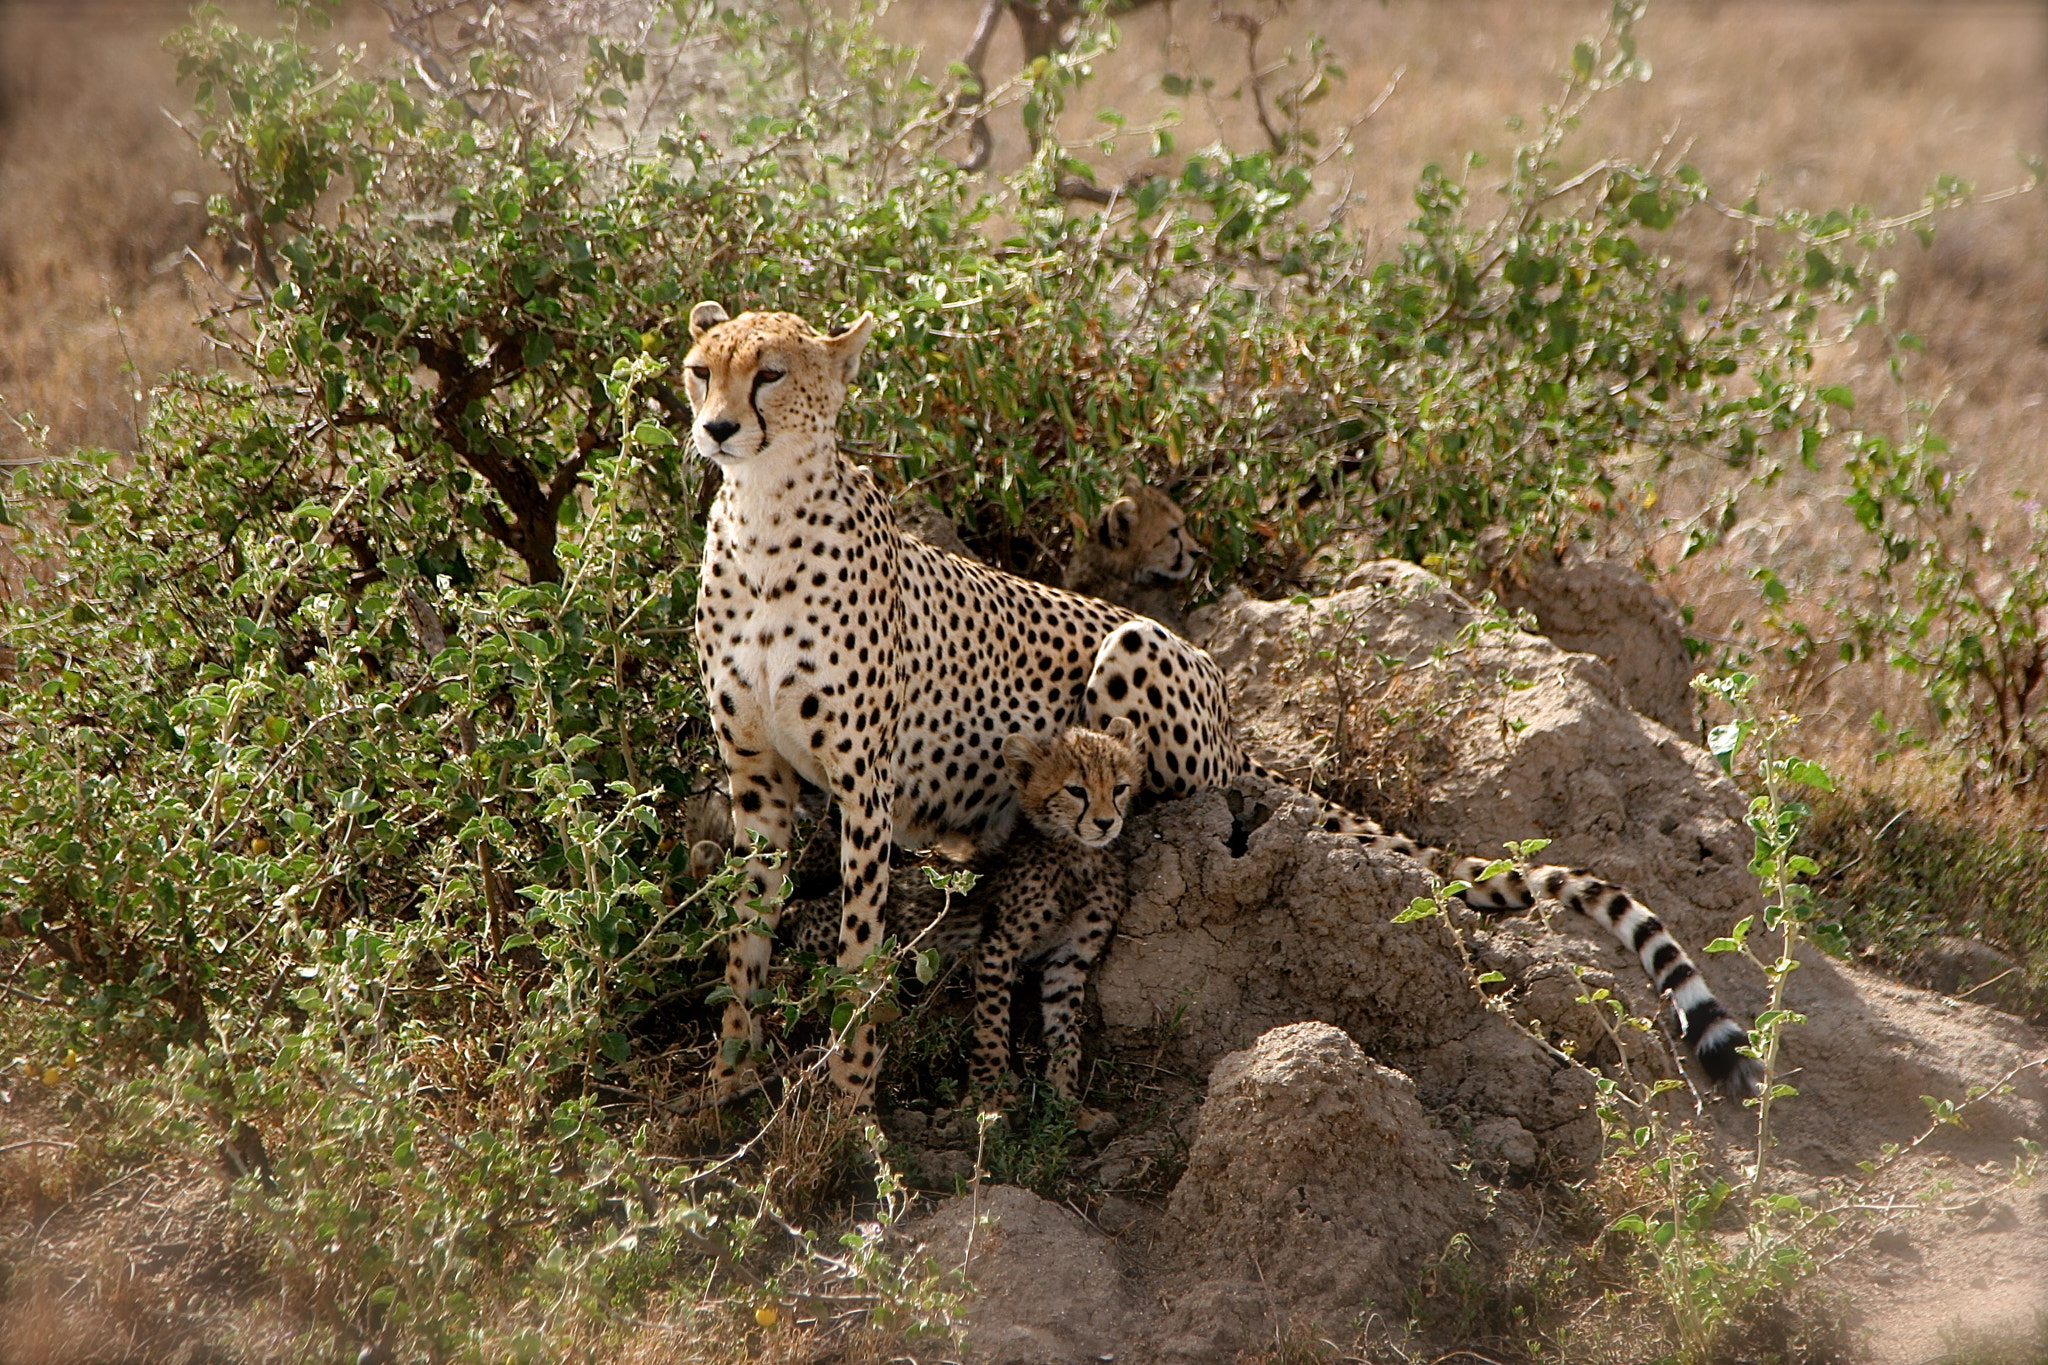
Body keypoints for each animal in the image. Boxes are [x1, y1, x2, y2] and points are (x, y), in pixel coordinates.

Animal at [675, 304, 1761, 1105]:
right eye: (698, 371)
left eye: (770, 374)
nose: (715, 429)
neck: (764, 519)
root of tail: (1238, 727)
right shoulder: (759, 787)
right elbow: (743, 945)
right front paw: (726, 1088)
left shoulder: (863, 789)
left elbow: (857, 962)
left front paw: (847, 1109)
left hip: (1134, 649)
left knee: (1178, 799)